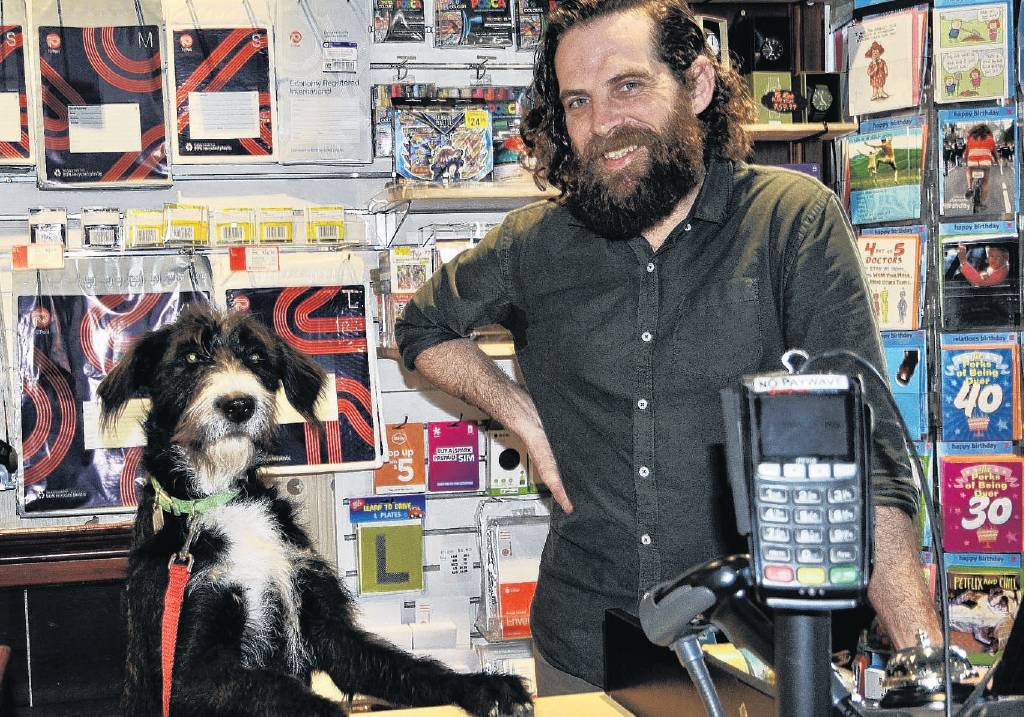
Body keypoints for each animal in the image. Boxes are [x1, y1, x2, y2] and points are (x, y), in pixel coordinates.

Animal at [98, 307, 533, 717]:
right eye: (188, 357)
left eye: (256, 358)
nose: (239, 404)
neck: (222, 496)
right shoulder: (187, 674)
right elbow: (289, 696)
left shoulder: (331, 633)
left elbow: (410, 669)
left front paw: (485, 687)